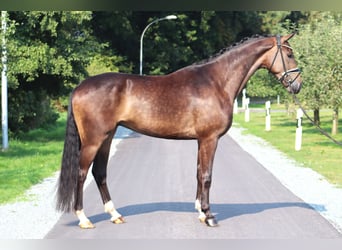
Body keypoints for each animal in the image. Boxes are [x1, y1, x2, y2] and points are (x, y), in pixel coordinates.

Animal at [56, 33, 302, 229]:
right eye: (289, 54)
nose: (297, 85)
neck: (216, 82)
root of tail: (79, 87)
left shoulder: (201, 140)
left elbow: (199, 173)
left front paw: (200, 211)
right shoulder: (210, 139)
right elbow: (207, 176)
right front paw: (209, 216)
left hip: (106, 138)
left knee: (100, 173)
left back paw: (115, 214)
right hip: (93, 141)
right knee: (81, 173)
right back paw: (84, 219)